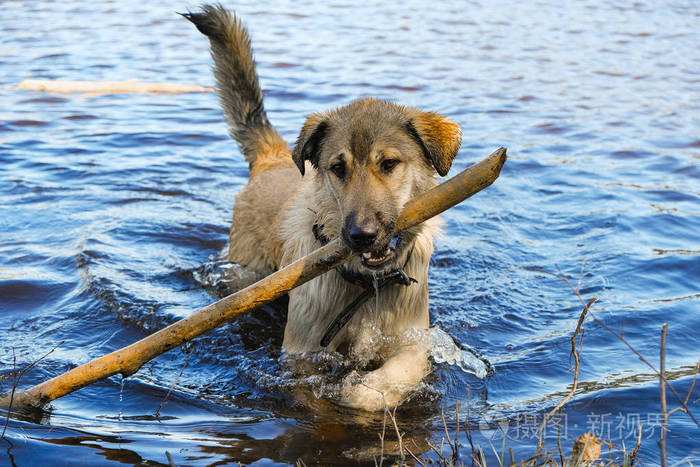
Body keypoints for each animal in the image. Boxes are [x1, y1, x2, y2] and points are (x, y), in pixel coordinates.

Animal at [185, 5, 464, 412]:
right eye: (338, 168)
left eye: (389, 164)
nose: (361, 235)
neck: (365, 286)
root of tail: (271, 159)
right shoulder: (302, 354)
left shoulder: (412, 340)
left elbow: (396, 373)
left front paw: (364, 391)